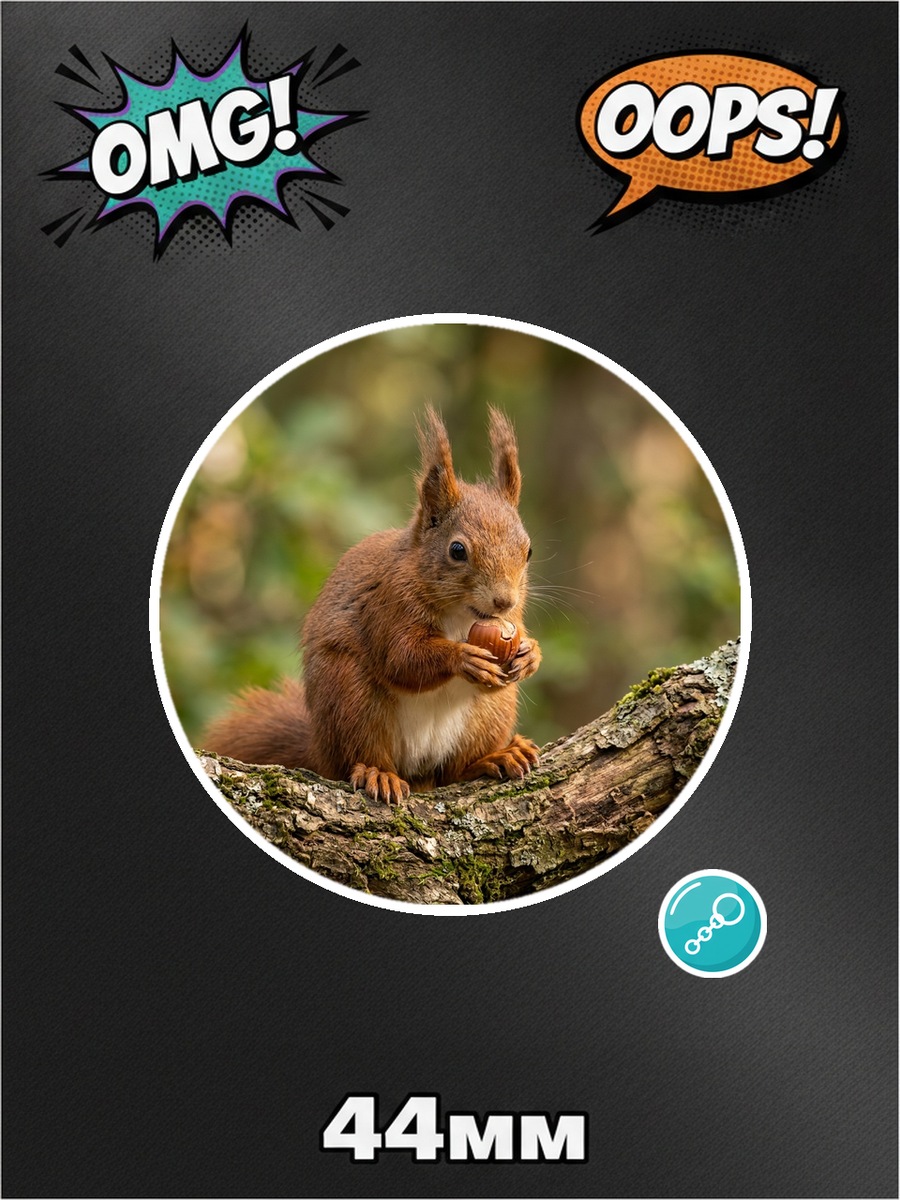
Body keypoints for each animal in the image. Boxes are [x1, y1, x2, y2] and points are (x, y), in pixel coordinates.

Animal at [202, 406, 542, 803]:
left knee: (454, 772)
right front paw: (462, 657)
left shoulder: (513, 618)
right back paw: (378, 774)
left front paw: (531, 654)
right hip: (352, 699)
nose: (503, 600)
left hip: (490, 713)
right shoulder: (388, 604)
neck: (462, 614)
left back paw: (495, 757)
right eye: (457, 550)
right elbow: (402, 658)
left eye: (528, 550)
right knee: (363, 753)